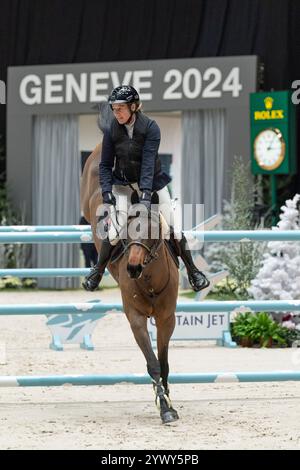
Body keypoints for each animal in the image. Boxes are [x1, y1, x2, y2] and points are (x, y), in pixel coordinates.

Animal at [80, 145, 178, 424]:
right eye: (129, 232)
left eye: (152, 231)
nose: (132, 268)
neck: (150, 281)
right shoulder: (136, 319)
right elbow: (152, 363)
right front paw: (164, 406)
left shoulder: (167, 318)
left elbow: (164, 362)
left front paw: (168, 400)